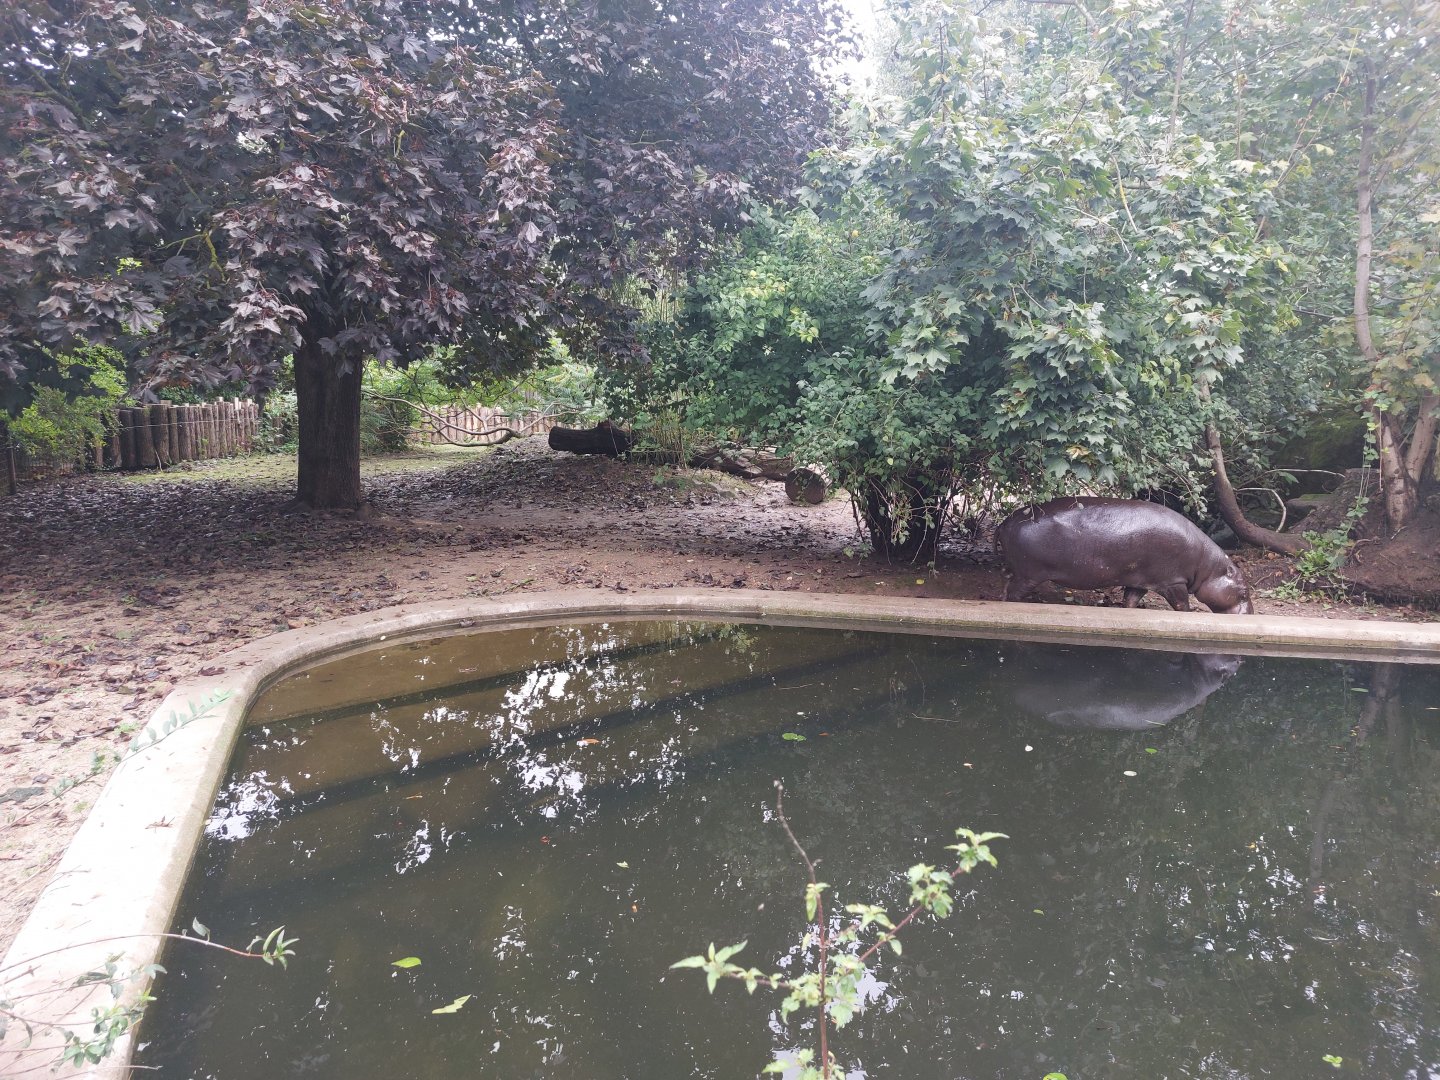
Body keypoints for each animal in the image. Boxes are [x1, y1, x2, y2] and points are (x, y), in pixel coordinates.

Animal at [996, 497, 1253, 614]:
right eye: (1244, 592)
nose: (1250, 614)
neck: (1208, 568)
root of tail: (1005, 521)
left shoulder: (1140, 581)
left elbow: (1130, 601)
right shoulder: (1173, 582)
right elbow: (1182, 605)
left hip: (1017, 571)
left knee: (1005, 588)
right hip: (1029, 574)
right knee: (1013, 594)